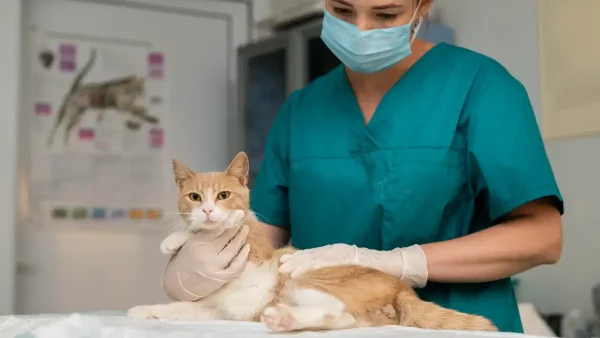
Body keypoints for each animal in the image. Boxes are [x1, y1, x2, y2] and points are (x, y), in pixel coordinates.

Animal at [127, 152, 496, 332]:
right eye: (194, 196)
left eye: (223, 195)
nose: (206, 209)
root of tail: (401, 286)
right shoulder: (212, 308)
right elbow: (177, 307)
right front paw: (146, 308)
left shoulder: (257, 244)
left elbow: (237, 224)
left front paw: (192, 234)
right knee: (348, 320)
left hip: (307, 282)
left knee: (340, 313)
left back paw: (286, 320)